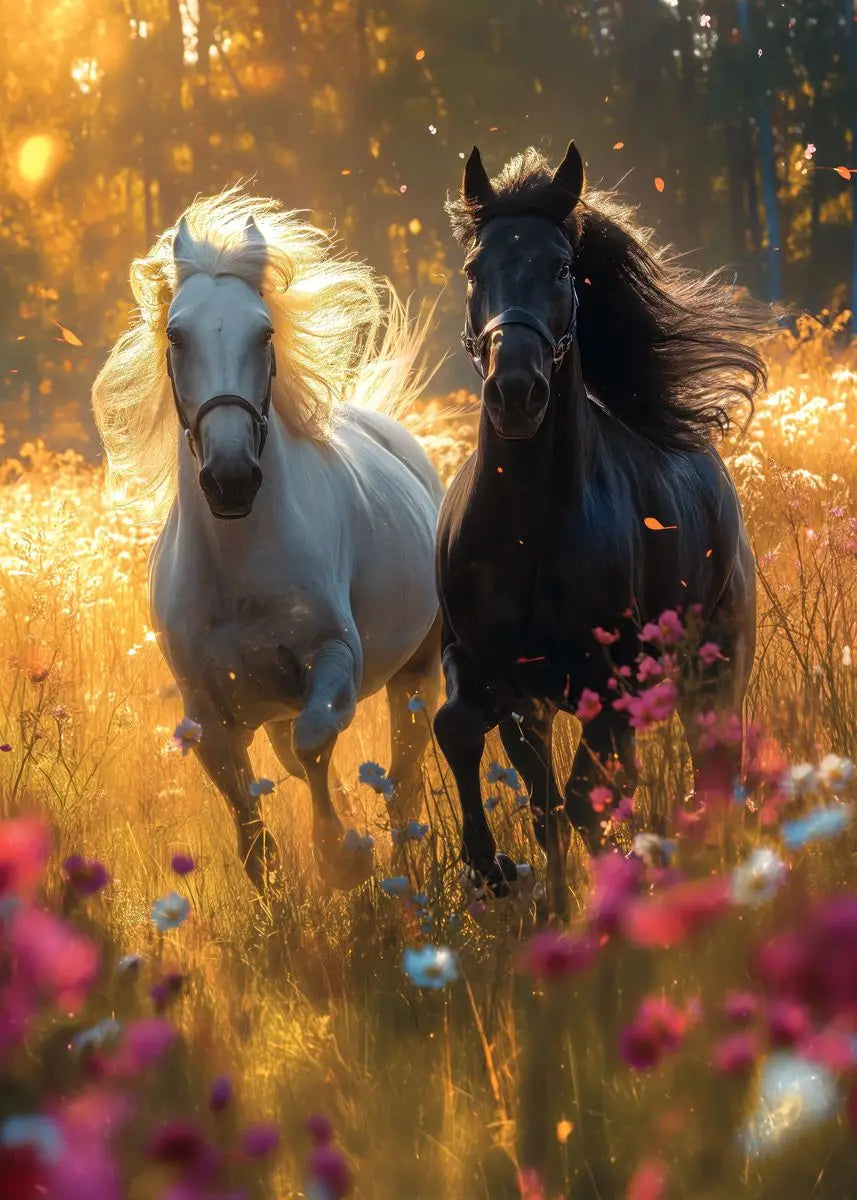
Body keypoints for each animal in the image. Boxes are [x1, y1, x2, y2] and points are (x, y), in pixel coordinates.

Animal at [92, 189, 443, 892]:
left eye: (265, 333)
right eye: (176, 334)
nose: (230, 477)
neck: (239, 569)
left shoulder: (334, 659)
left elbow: (315, 743)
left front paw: (343, 855)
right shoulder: (207, 712)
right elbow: (251, 824)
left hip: (417, 674)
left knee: (404, 782)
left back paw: (400, 863)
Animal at [433, 140, 772, 914]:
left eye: (562, 267)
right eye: (474, 269)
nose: (516, 392)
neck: (525, 533)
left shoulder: (610, 684)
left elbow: (591, 795)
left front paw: (622, 890)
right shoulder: (484, 668)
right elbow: (467, 737)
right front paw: (495, 870)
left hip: (712, 664)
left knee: (707, 763)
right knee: (550, 792)